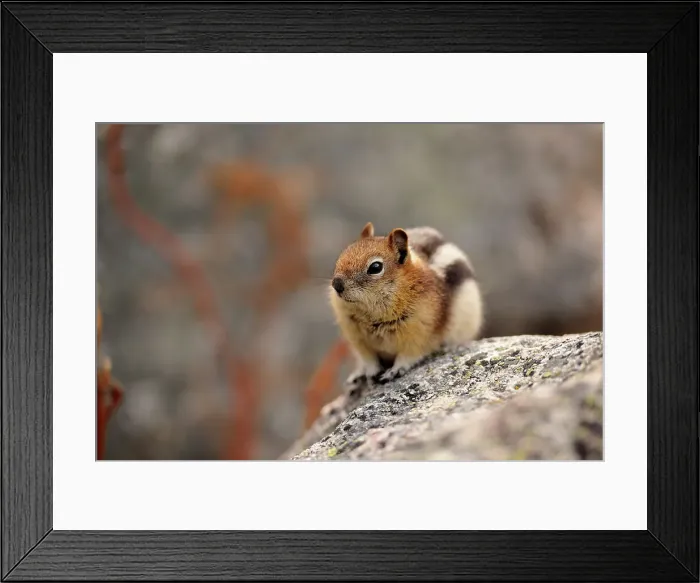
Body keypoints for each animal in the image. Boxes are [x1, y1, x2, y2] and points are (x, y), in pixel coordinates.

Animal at [329, 221, 483, 387]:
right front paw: (370, 370)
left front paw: (394, 371)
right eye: (343, 254)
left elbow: (408, 356)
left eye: (375, 267)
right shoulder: (357, 338)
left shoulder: (421, 334)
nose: (336, 284)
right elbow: (367, 357)